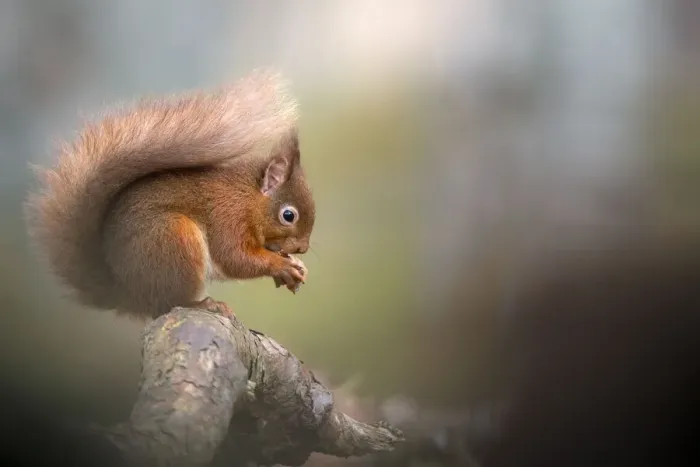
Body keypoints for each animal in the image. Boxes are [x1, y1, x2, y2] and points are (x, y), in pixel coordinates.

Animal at [24, 70, 315, 320]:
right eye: (288, 215)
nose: (303, 248)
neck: (249, 198)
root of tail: (129, 294)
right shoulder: (228, 216)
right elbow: (235, 258)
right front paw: (281, 266)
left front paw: (295, 266)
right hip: (174, 238)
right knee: (169, 303)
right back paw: (204, 304)